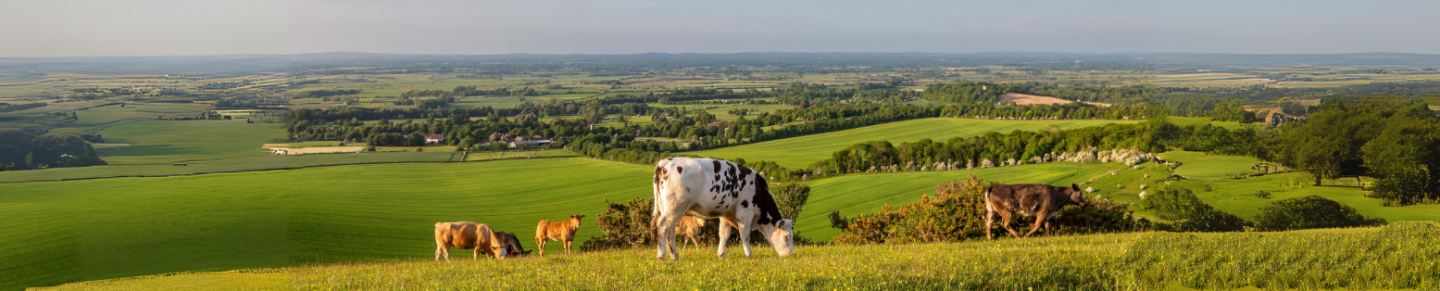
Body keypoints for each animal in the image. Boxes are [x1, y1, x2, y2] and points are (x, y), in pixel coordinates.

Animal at [656, 157, 800, 260]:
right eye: (787, 236)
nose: (791, 254)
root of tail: (666, 162)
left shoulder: (726, 213)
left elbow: (724, 234)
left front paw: (721, 254)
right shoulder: (745, 213)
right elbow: (745, 235)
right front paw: (749, 254)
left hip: (668, 207)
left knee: (671, 229)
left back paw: (675, 256)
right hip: (676, 206)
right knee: (663, 226)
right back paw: (661, 256)